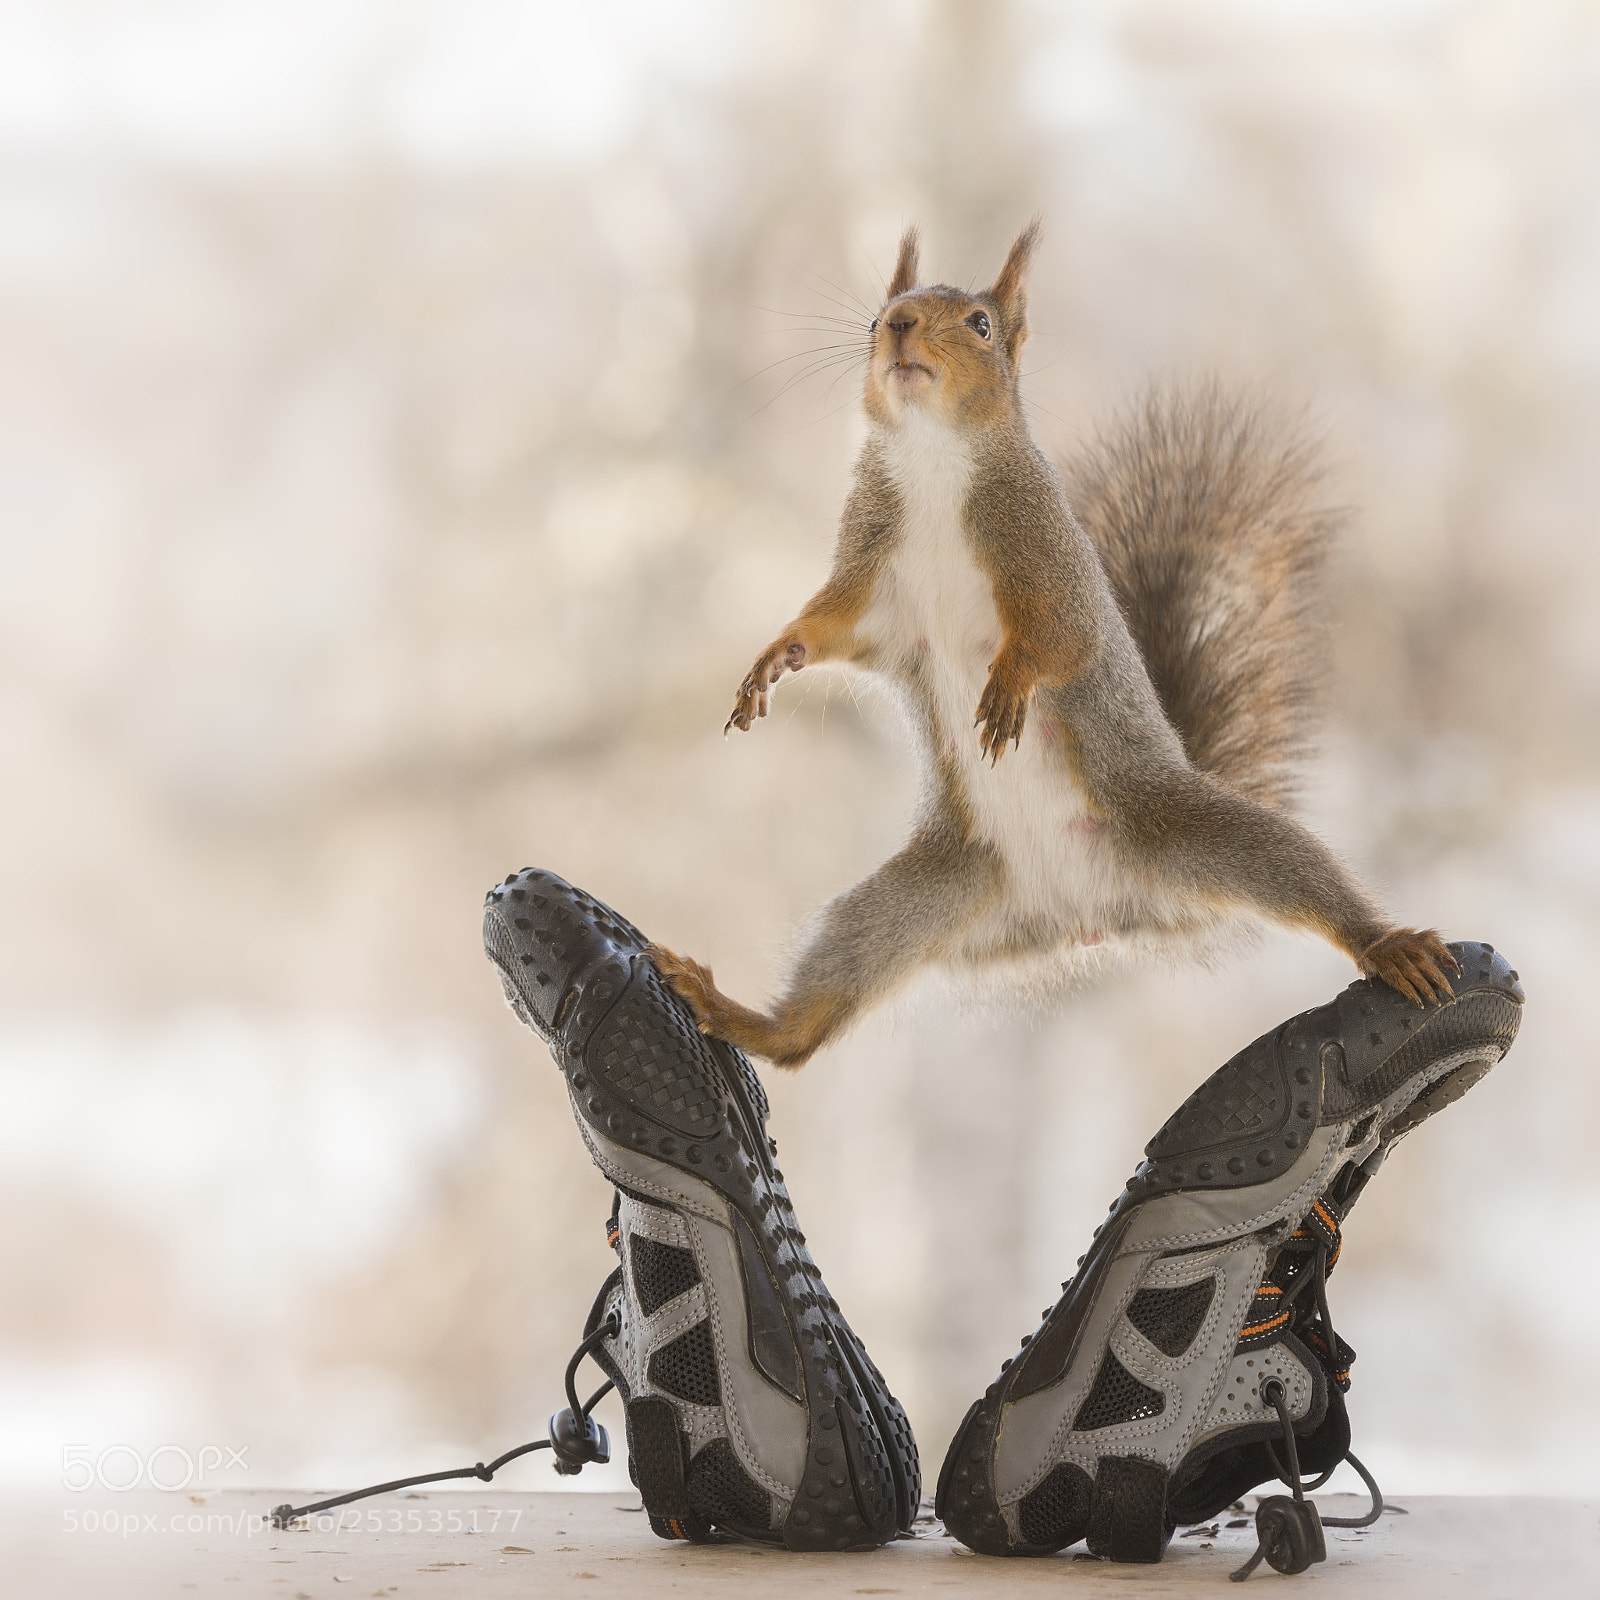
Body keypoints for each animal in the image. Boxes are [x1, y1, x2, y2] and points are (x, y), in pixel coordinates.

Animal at [652, 221, 1458, 1068]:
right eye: (875, 318)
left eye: (980, 324)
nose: (899, 325)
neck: (932, 460)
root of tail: (1081, 918)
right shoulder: (875, 588)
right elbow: (831, 625)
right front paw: (773, 661)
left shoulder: (1049, 557)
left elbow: (1062, 638)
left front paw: (1010, 684)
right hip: (931, 893)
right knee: (817, 1014)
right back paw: (744, 1016)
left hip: (1184, 829)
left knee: (1295, 871)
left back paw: (1384, 941)